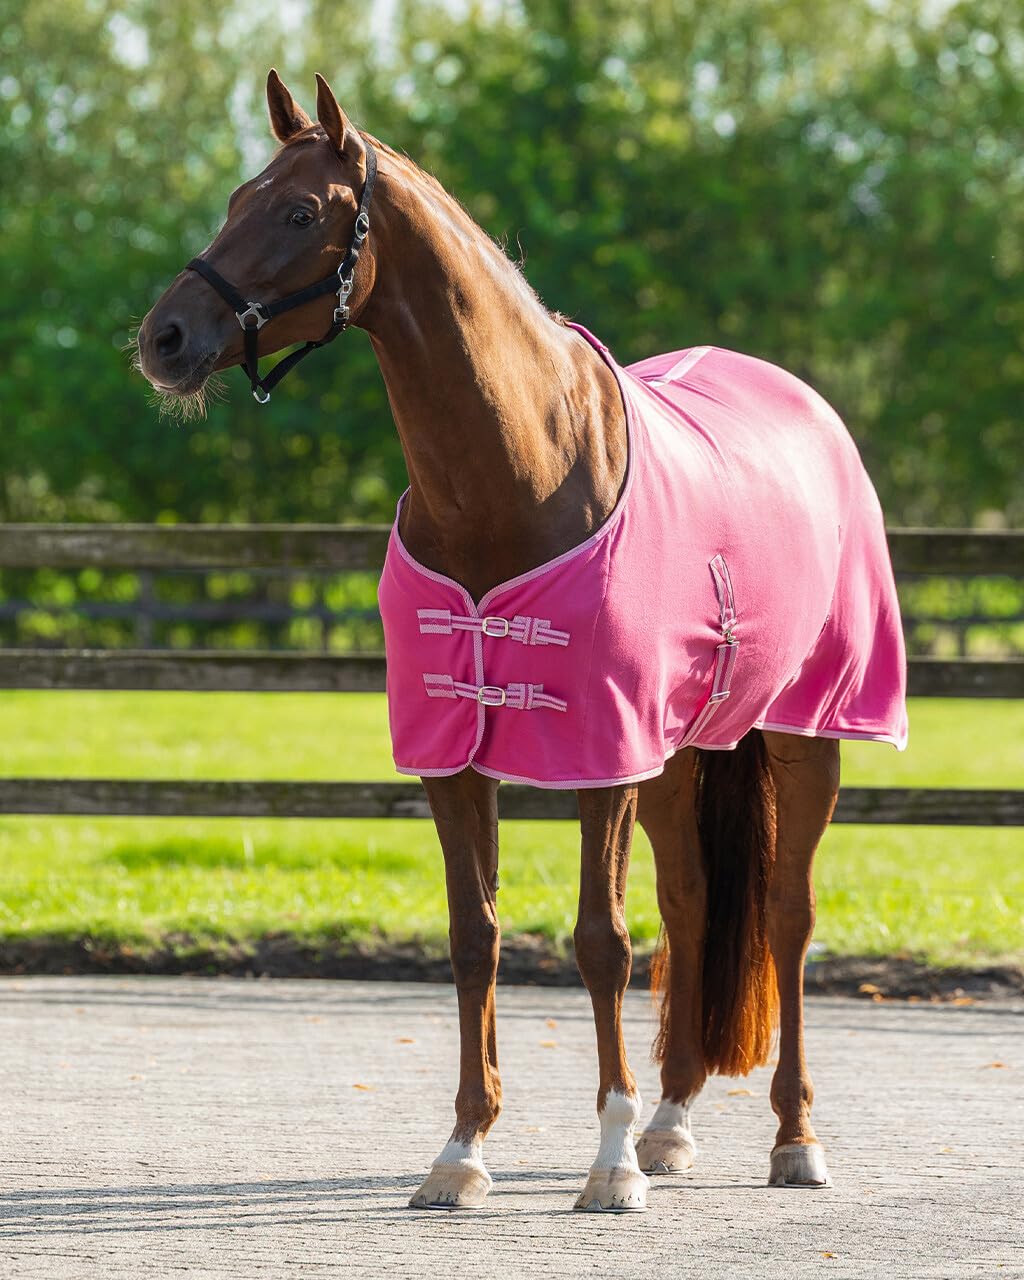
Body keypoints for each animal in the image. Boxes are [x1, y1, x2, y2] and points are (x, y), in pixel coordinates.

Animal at [136, 71, 908, 1213]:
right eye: (237, 198)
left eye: (300, 212)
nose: (165, 339)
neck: (518, 472)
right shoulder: (458, 757)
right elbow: (476, 937)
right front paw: (462, 1150)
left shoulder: (602, 754)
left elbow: (601, 941)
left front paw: (608, 1161)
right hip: (679, 756)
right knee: (692, 906)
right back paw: (673, 1122)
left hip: (806, 736)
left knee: (784, 914)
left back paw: (793, 1139)